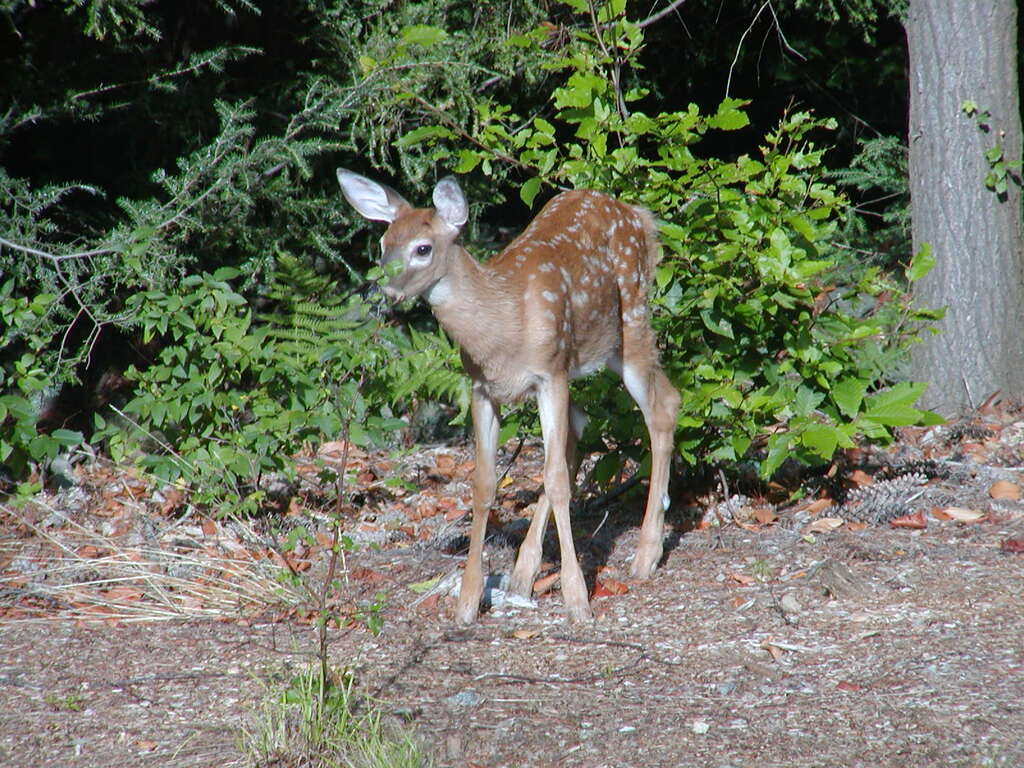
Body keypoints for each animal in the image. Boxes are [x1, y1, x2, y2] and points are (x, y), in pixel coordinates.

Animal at [337, 168, 680, 624]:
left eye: (422, 248)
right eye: (382, 244)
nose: (386, 292)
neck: (502, 322)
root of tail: (637, 214)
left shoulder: (550, 373)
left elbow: (555, 479)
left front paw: (578, 601)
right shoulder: (483, 389)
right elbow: (484, 485)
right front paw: (467, 602)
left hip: (632, 320)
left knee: (662, 407)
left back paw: (646, 555)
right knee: (581, 430)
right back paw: (522, 574)